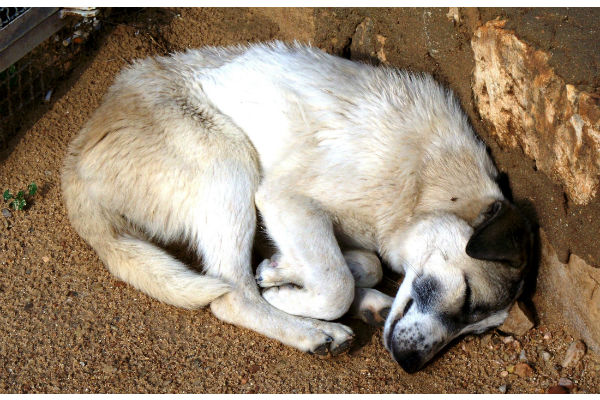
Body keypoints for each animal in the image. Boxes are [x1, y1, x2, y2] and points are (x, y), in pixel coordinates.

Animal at [61, 42, 528, 374]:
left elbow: (360, 265)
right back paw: (312, 332)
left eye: (477, 331)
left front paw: (281, 272)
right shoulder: (284, 199)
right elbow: (336, 285)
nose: (411, 366)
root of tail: (76, 157)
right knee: (231, 295)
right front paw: (288, 294)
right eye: (467, 297)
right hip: (231, 161)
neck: (429, 185)